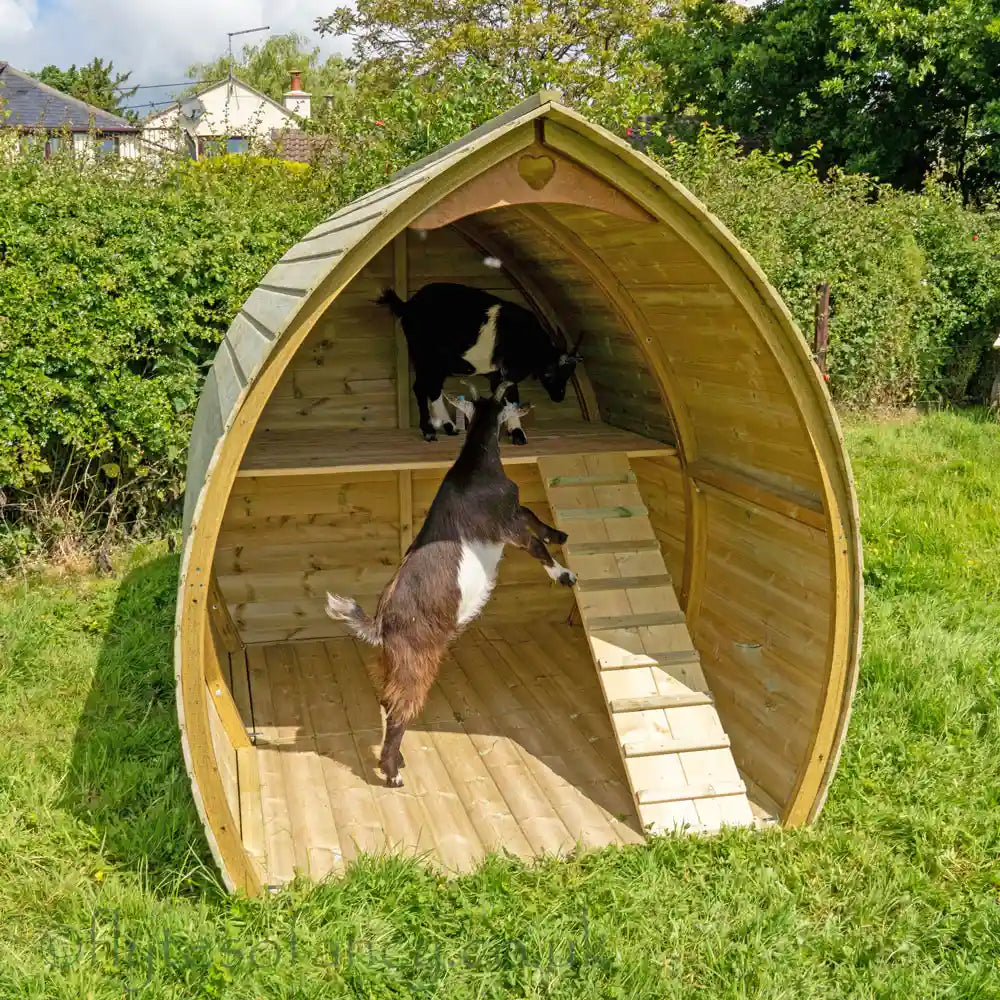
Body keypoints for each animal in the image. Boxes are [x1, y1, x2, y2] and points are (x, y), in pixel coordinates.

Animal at [328, 378, 580, 784]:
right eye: (507, 400)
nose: (526, 404)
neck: (476, 466)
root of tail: (380, 623)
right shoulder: (506, 527)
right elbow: (536, 544)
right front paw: (564, 575)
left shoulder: (511, 514)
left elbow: (532, 514)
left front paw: (560, 533)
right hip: (416, 661)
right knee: (400, 709)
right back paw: (392, 772)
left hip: (391, 663)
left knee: (386, 699)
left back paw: (397, 762)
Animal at [376, 282, 584, 446]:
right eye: (550, 373)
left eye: (569, 374)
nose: (559, 397)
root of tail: (408, 306)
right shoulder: (507, 370)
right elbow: (512, 397)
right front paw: (518, 435)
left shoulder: (496, 374)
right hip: (425, 356)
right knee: (422, 388)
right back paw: (429, 431)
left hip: (437, 364)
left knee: (433, 388)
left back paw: (449, 427)